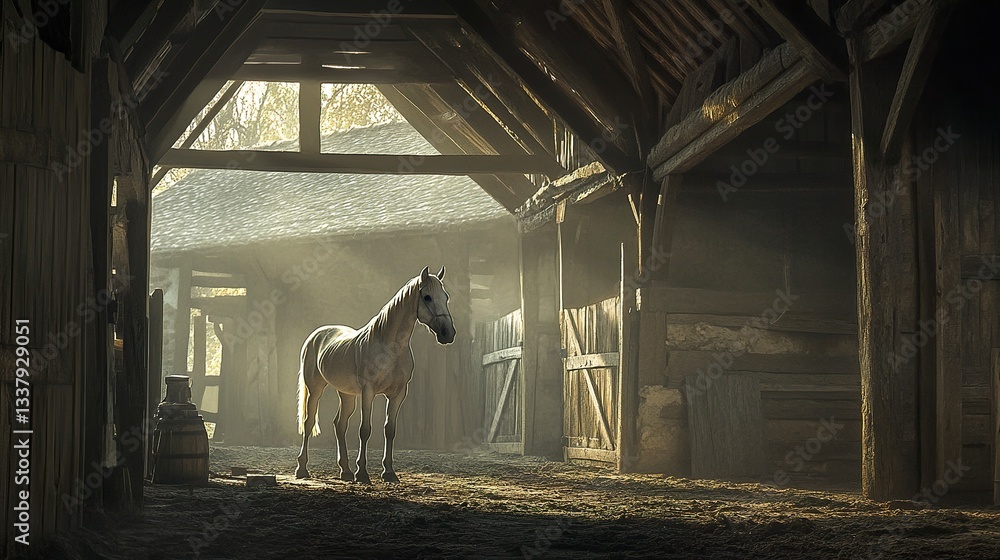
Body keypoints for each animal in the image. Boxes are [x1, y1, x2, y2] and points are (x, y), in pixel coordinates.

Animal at [295, 266, 455, 483]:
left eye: (445, 297)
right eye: (427, 297)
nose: (448, 333)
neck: (389, 347)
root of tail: (317, 335)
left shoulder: (398, 394)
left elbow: (390, 430)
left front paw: (389, 472)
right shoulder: (368, 391)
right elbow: (365, 430)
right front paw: (362, 473)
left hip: (347, 395)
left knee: (340, 424)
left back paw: (345, 471)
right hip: (315, 389)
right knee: (309, 421)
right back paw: (302, 469)